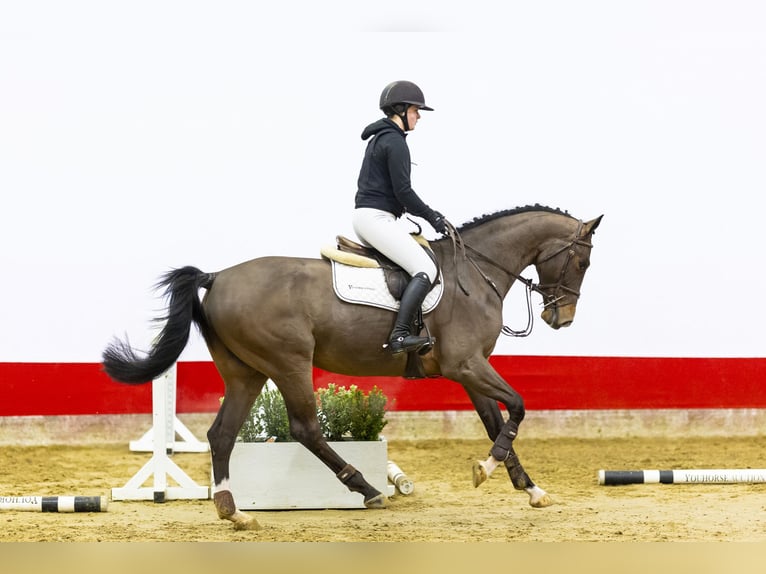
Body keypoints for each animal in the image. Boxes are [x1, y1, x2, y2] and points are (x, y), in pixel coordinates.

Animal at [103, 205, 608, 532]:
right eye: (582, 261)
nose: (561, 319)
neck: (475, 272)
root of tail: (217, 277)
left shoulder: (471, 369)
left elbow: (495, 421)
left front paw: (528, 487)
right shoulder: (466, 364)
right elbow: (518, 407)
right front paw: (486, 469)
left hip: (247, 372)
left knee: (222, 434)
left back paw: (234, 511)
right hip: (288, 363)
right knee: (305, 429)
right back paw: (366, 489)